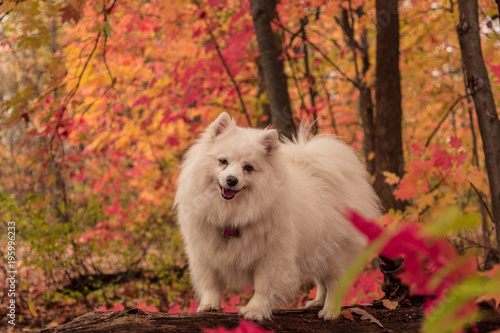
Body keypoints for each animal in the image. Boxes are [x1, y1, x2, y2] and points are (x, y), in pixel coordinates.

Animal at [175, 113, 378, 320]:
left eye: (248, 167)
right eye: (223, 161)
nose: (231, 180)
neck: (232, 213)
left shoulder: (272, 257)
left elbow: (263, 287)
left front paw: (254, 311)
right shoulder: (204, 254)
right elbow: (210, 283)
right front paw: (209, 305)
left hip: (336, 252)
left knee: (334, 282)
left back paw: (329, 310)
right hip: (317, 251)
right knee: (322, 281)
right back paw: (317, 302)